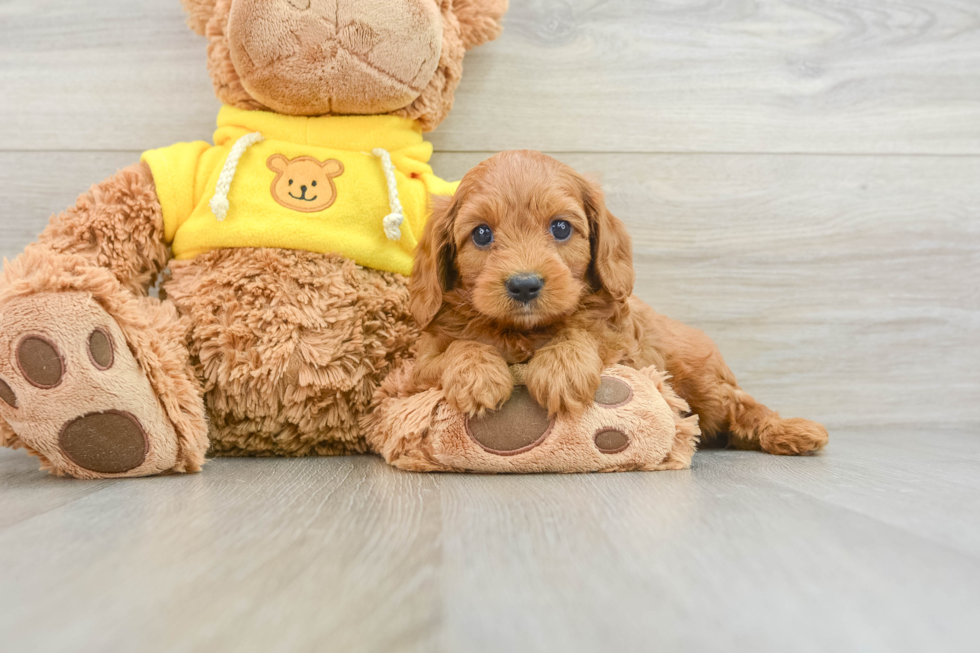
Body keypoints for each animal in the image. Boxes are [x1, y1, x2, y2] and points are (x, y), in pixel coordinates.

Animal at [410, 150, 832, 454]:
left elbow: (585, 333)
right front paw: (477, 375)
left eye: (560, 228)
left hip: (706, 385)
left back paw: (793, 432)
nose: (525, 286)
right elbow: (457, 347)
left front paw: (562, 367)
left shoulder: (625, 347)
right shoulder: (418, 368)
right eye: (482, 234)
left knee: (742, 406)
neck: (525, 332)